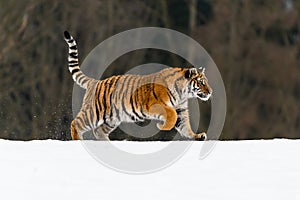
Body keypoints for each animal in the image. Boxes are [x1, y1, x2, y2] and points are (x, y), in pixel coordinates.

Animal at [64, 30, 212, 141]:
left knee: (98, 131)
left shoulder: (181, 110)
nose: (210, 92)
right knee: (75, 123)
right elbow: (172, 114)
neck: (182, 93)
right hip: (95, 112)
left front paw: (198, 136)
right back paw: (78, 141)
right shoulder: (154, 105)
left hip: (112, 118)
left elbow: (185, 126)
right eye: (201, 82)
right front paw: (161, 126)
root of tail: (95, 81)